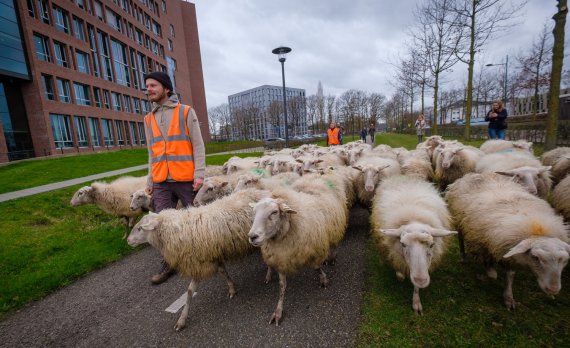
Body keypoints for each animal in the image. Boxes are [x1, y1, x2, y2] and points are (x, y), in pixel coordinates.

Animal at [127, 188, 270, 332]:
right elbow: (223, 272)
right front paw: (232, 289)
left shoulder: (197, 263)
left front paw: (182, 320)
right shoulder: (211, 256)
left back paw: (269, 275)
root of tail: (261, 192)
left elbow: (190, 291)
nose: (128, 240)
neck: (178, 231)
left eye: (140, 228)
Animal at [247, 186, 346, 324]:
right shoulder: (281, 258)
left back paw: (332, 257)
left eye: (274, 212)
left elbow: (316, 267)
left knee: (335, 243)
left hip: (334, 227)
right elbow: (282, 286)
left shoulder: (312, 249)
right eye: (254, 212)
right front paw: (278, 311)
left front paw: (323, 279)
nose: (252, 236)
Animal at [368, 175, 458, 314]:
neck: (413, 218)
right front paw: (400, 275)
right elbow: (399, 270)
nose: (421, 280)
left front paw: (416, 301)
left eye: (432, 245)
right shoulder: (396, 253)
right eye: (403, 244)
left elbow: (415, 286)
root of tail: (403, 176)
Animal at [446, 174, 564, 310]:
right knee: (460, 239)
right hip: (459, 220)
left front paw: (508, 297)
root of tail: (470, 175)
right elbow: (493, 275)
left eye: (563, 260)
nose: (553, 289)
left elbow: (510, 275)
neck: (536, 229)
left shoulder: (509, 252)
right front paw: (483, 277)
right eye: (536, 257)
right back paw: (463, 257)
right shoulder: (483, 247)